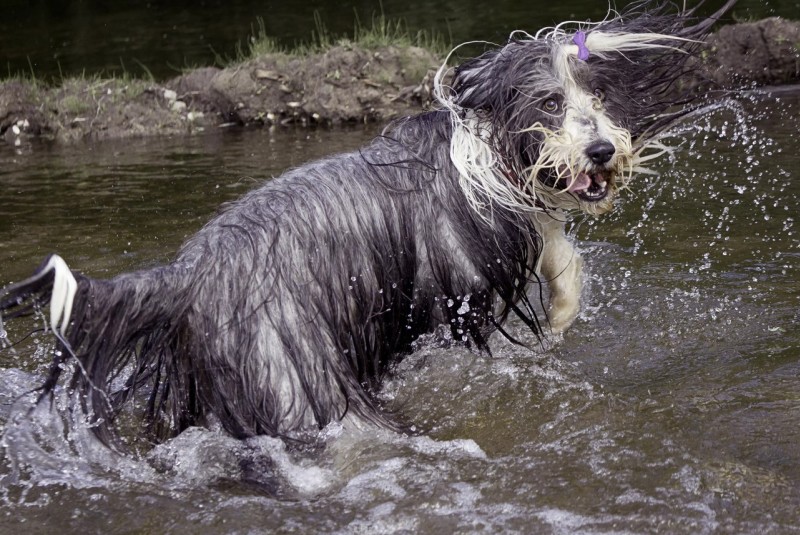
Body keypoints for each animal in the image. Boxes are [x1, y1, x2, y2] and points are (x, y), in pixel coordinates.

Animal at [0, 2, 736, 450]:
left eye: (598, 95)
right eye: (550, 103)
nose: (604, 151)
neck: (478, 149)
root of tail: (184, 276)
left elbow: (559, 247)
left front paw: (560, 310)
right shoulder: (461, 279)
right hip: (295, 375)